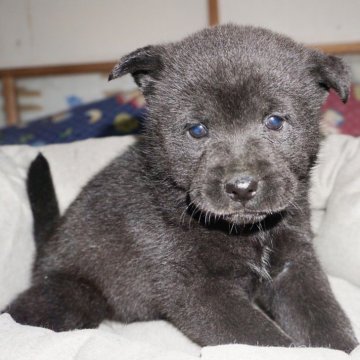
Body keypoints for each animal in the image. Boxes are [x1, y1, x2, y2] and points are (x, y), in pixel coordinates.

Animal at [4, 25, 358, 352]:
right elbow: (267, 341)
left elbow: (325, 318)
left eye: (274, 121)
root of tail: (45, 250)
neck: (248, 233)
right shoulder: (197, 288)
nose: (242, 187)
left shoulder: (294, 265)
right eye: (197, 129)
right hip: (71, 295)